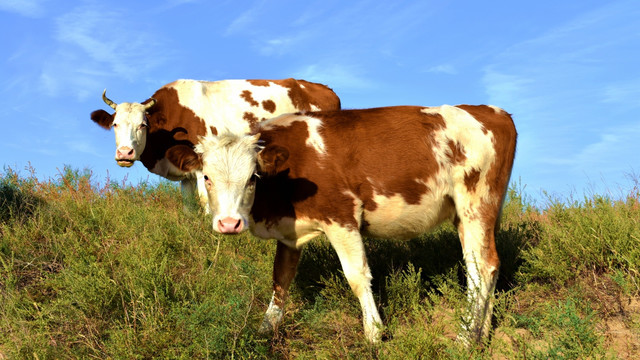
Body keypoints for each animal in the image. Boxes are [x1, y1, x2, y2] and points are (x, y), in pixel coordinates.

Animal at [90, 79, 342, 211]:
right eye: (114, 124)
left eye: (143, 125)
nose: (125, 153)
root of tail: (324, 89)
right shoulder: (185, 174)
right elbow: (189, 207)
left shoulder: (204, 167)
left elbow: (206, 203)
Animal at [190, 103, 516, 344]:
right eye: (207, 177)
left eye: (252, 178)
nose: (228, 223)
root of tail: (494, 112)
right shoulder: (289, 231)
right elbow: (281, 279)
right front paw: (265, 330)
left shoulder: (341, 216)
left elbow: (357, 276)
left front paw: (374, 333)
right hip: (471, 213)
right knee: (485, 267)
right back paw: (482, 333)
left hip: (476, 202)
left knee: (482, 267)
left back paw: (466, 337)